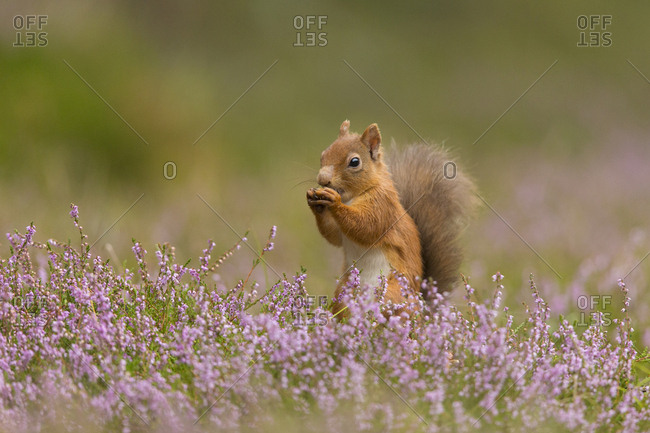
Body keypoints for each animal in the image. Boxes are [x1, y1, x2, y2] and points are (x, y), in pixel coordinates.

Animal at [306, 120, 476, 319]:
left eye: (354, 162)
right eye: (323, 155)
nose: (322, 179)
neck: (353, 196)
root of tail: (423, 314)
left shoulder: (383, 206)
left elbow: (366, 227)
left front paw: (334, 202)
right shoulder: (341, 231)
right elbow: (334, 236)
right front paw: (314, 202)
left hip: (393, 293)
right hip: (344, 292)